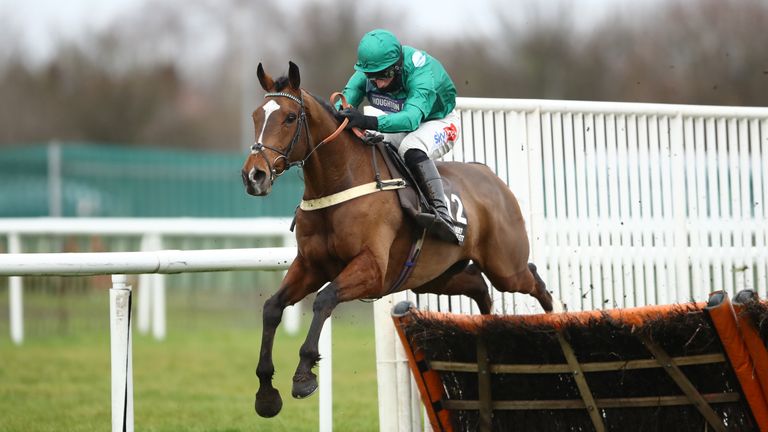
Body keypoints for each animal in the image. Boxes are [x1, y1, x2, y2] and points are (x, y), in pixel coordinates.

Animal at [240, 62, 552, 416]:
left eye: (290, 117)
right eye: (255, 116)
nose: (254, 175)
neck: (339, 182)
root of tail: (490, 176)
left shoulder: (372, 269)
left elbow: (324, 299)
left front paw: (304, 375)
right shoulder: (310, 266)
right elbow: (272, 307)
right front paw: (266, 392)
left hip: (505, 267)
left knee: (534, 279)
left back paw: (553, 322)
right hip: (435, 277)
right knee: (478, 285)